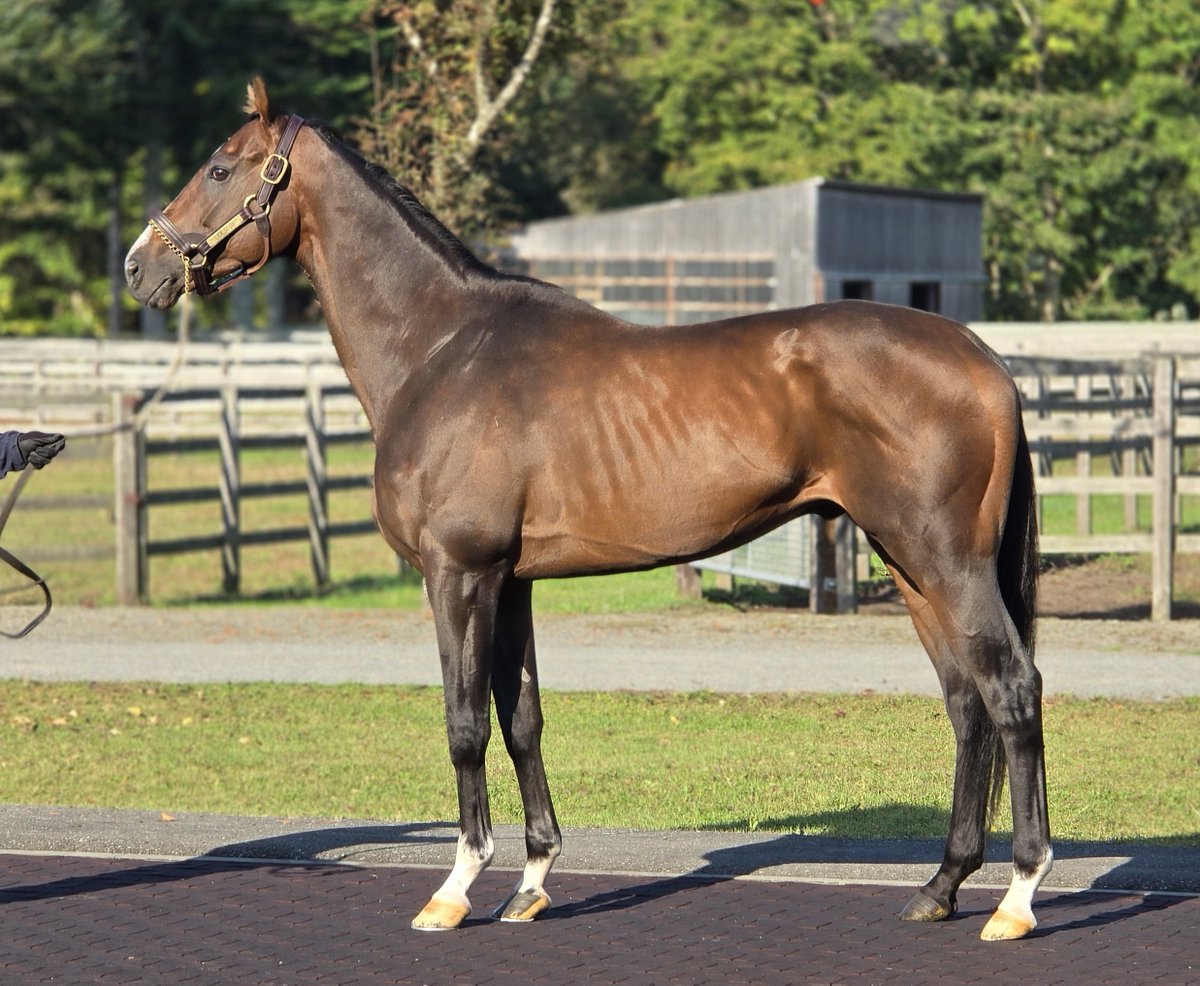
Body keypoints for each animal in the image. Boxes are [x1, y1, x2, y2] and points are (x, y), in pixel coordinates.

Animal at [125, 79, 1051, 941]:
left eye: (220, 168)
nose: (140, 267)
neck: (441, 347)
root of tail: (982, 359)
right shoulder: (511, 581)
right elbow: (522, 719)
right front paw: (531, 883)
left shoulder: (459, 573)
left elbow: (465, 722)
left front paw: (454, 890)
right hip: (912, 568)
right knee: (966, 704)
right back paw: (940, 887)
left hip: (945, 562)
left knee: (1011, 688)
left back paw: (1018, 897)